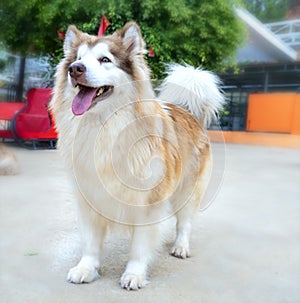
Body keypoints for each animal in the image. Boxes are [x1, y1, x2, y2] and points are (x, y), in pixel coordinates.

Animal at [50, 22, 224, 292]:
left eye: (104, 59)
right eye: (78, 58)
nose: (74, 69)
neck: (105, 128)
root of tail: (189, 112)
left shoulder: (148, 203)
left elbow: (140, 246)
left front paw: (134, 274)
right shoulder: (88, 197)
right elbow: (90, 242)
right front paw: (86, 268)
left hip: (188, 190)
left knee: (184, 223)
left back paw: (181, 247)